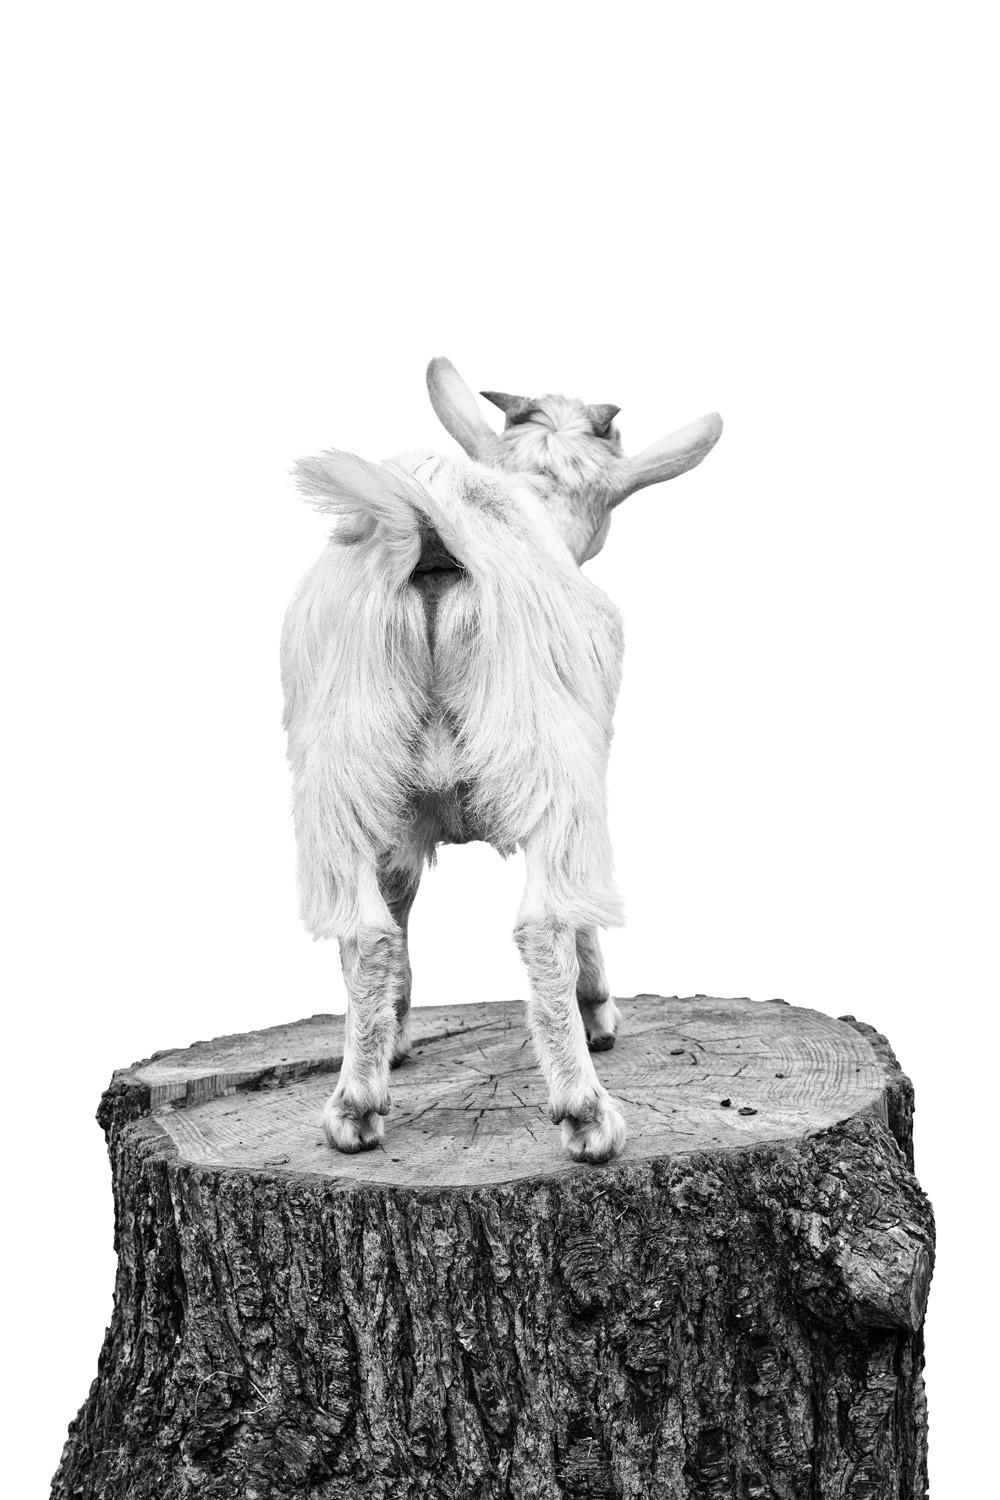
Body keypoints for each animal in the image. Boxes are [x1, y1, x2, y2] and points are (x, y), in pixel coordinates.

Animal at [282, 357, 722, 1163]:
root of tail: (429, 530)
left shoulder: (399, 821)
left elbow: (396, 905)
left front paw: (394, 1038)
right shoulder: (583, 763)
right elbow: (580, 910)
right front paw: (599, 1013)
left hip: (344, 764)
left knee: (365, 929)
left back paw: (354, 1107)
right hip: (547, 751)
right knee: (544, 921)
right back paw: (587, 1113)